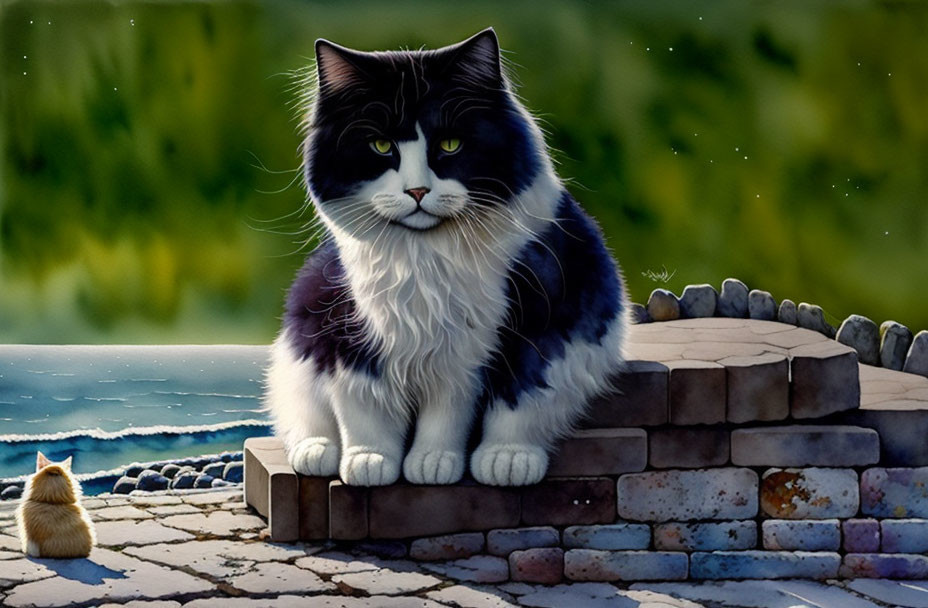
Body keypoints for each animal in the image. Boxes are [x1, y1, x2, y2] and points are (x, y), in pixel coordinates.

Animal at [268, 28, 632, 486]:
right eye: (381, 146)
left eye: (450, 144)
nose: (417, 191)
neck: (423, 258)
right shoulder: (348, 332)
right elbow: (364, 410)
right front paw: (370, 461)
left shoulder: (502, 342)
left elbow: (486, 404)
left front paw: (453, 461)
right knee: (304, 413)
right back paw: (318, 451)